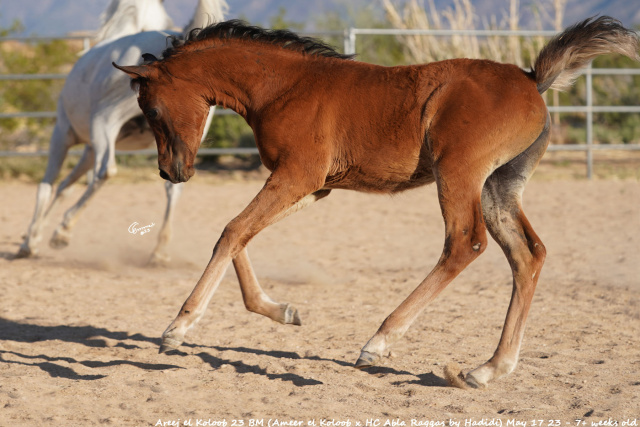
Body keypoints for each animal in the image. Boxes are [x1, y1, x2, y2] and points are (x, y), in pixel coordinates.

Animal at [16, 0, 230, 264]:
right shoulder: (90, 148)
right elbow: (65, 186)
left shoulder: (63, 134)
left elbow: (47, 186)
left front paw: (31, 241)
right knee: (174, 185)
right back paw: (158, 251)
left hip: (104, 121)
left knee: (106, 171)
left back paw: (63, 232)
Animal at [112, 17, 636, 388]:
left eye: (151, 108)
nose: (172, 172)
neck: (282, 86)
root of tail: (531, 80)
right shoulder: (312, 185)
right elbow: (238, 231)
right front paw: (281, 310)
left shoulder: (297, 175)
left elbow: (234, 230)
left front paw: (178, 327)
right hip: (499, 185)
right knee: (528, 255)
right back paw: (487, 369)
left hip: (459, 174)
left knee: (465, 244)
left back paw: (379, 342)